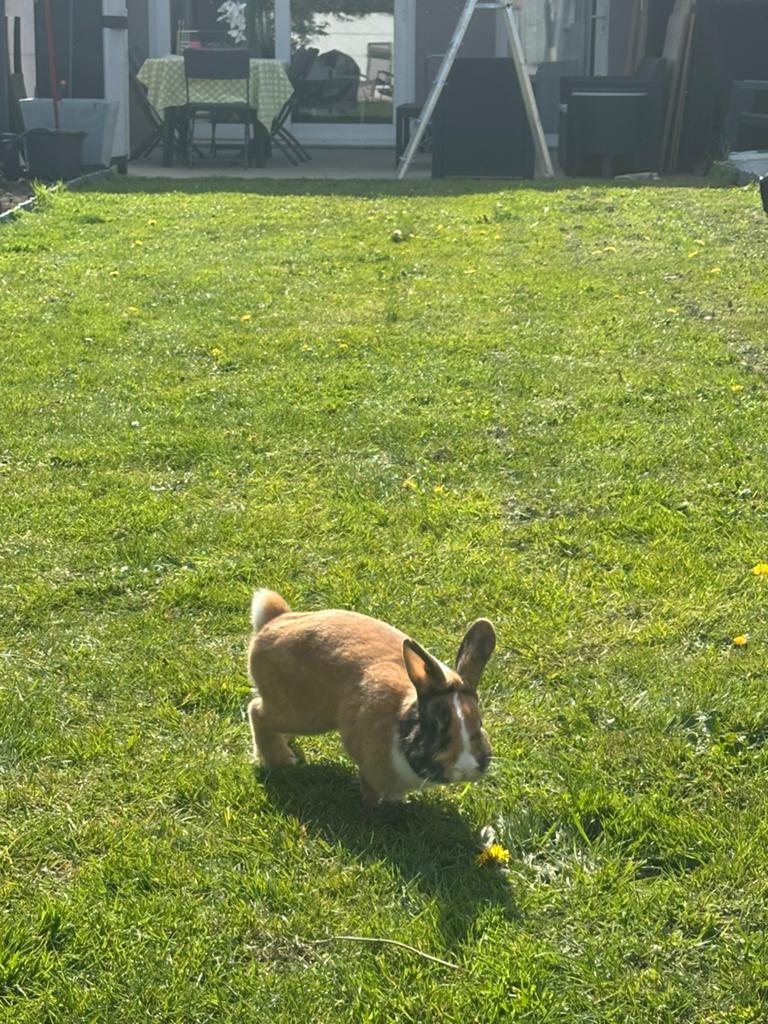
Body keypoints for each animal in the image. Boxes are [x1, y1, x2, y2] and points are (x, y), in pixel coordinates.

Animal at [247, 589, 496, 805]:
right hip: (303, 713)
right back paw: (280, 760)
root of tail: (273, 621)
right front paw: (375, 804)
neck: (400, 720)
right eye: (435, 726)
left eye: (479, 724)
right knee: (256, 711)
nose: (465, 768)